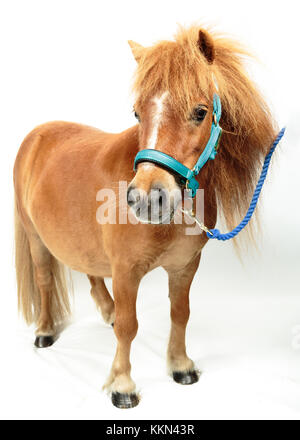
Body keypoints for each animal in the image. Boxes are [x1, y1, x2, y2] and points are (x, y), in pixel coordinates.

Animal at [14, 25, 276, 408]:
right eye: (137, 113)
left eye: (200, 112)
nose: (145, 199)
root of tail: (36, 135)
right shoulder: (126, 271)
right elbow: (129, 326)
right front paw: (122, 385)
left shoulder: (185, 266)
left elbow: (180, 313)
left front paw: (181, 366)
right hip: (34, 237)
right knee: (45, 279)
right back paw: (46, 331)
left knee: (90, 270)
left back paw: (105, 311)